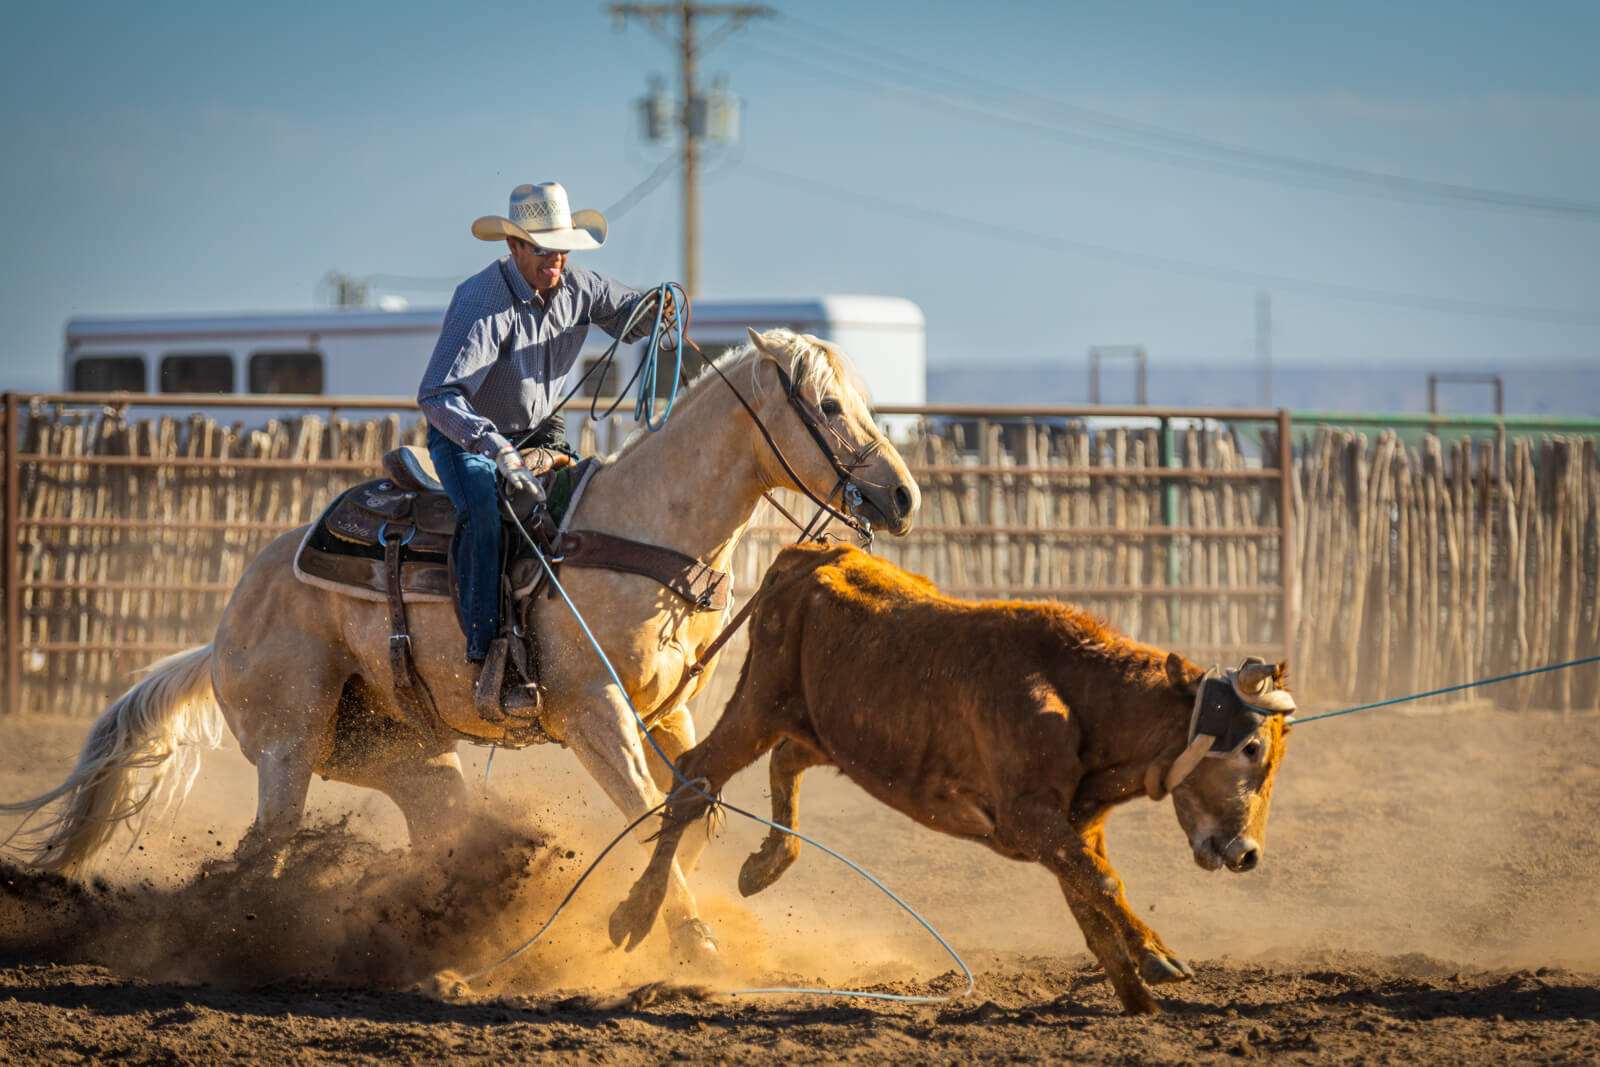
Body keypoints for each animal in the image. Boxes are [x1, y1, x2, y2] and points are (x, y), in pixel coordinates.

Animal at [3, 327, 915, 959]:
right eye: (828, 407)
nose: (902, 496)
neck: (644, 529)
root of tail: (229, 623)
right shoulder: (594, 715)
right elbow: (646, 813)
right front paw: (682, 935)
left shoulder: (669, 714)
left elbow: (688, 814)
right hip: (288, 747)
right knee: (262, 852)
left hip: (406, 756)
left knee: (427, 826)